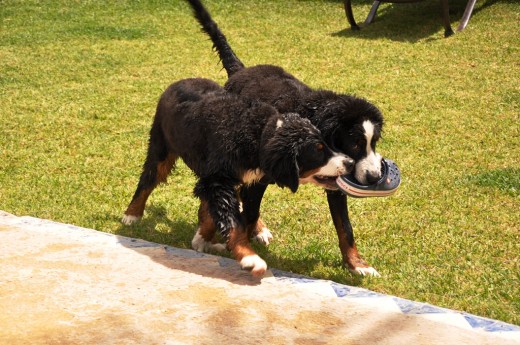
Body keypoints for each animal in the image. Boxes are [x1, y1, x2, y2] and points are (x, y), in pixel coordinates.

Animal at [123, 78, 354, 276]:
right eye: (318, 150)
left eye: (327, 144)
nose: (350, 162)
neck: (258, 134)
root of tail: (178, 82)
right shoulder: (217, 179)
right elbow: (233, 222)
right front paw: (249, 257)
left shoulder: (246, 182)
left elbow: (236, 214)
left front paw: (204, 238)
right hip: (161, 147)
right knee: (148, 179)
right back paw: (132, 213)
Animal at [187, 0, 386, 276]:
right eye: (355, 143)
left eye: (373, 142)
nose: (375, 177)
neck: (310, 116)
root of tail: (241, 70)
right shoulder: (257, 177)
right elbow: (247, 213)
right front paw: (241, 248)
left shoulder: (336, 182)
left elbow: (345, 229)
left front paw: (358, 265)